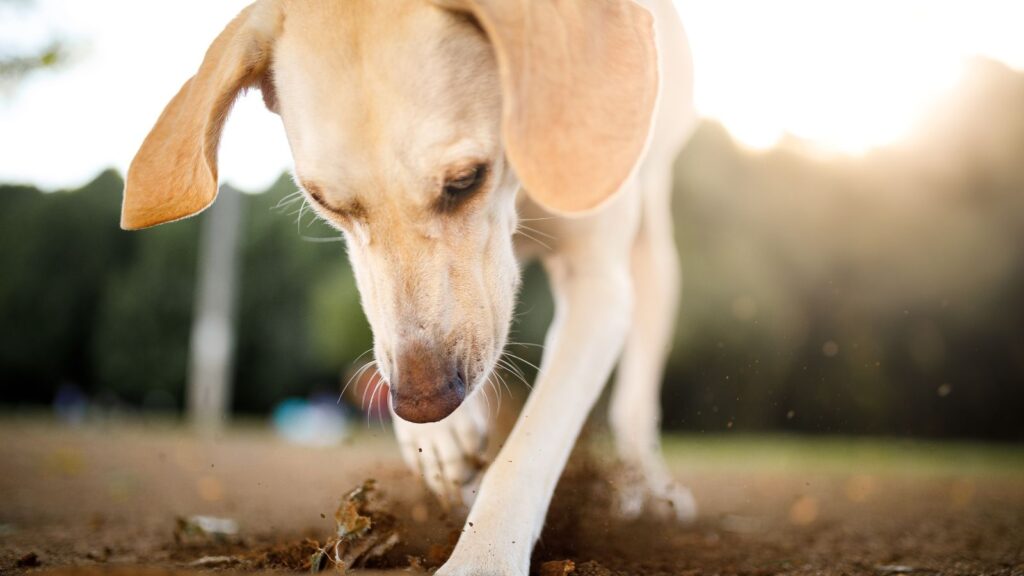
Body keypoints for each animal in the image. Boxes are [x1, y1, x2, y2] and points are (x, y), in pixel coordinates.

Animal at [119, 2, 696, 569]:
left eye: (465, 179)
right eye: (325, 203)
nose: (424, 404)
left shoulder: (600, 284)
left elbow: (530, 446)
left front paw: (482, 556)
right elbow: (388, 323)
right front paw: (440, 440)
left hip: (654, 251)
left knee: (635, 400)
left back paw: (649, 492)